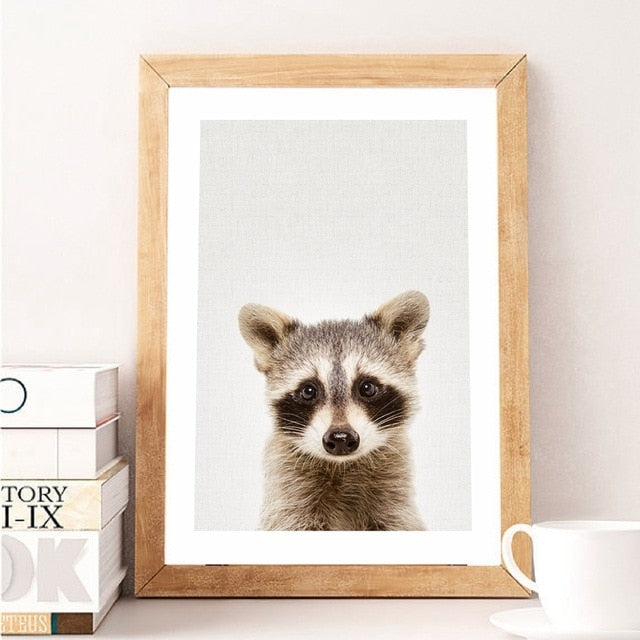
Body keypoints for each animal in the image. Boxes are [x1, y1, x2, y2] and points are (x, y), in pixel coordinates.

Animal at [238, 290, 429, 531]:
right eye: (308, 391)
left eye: (367, 387)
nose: (340, 438)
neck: (343, 466)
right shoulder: (290, 495)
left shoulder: (394, 498)